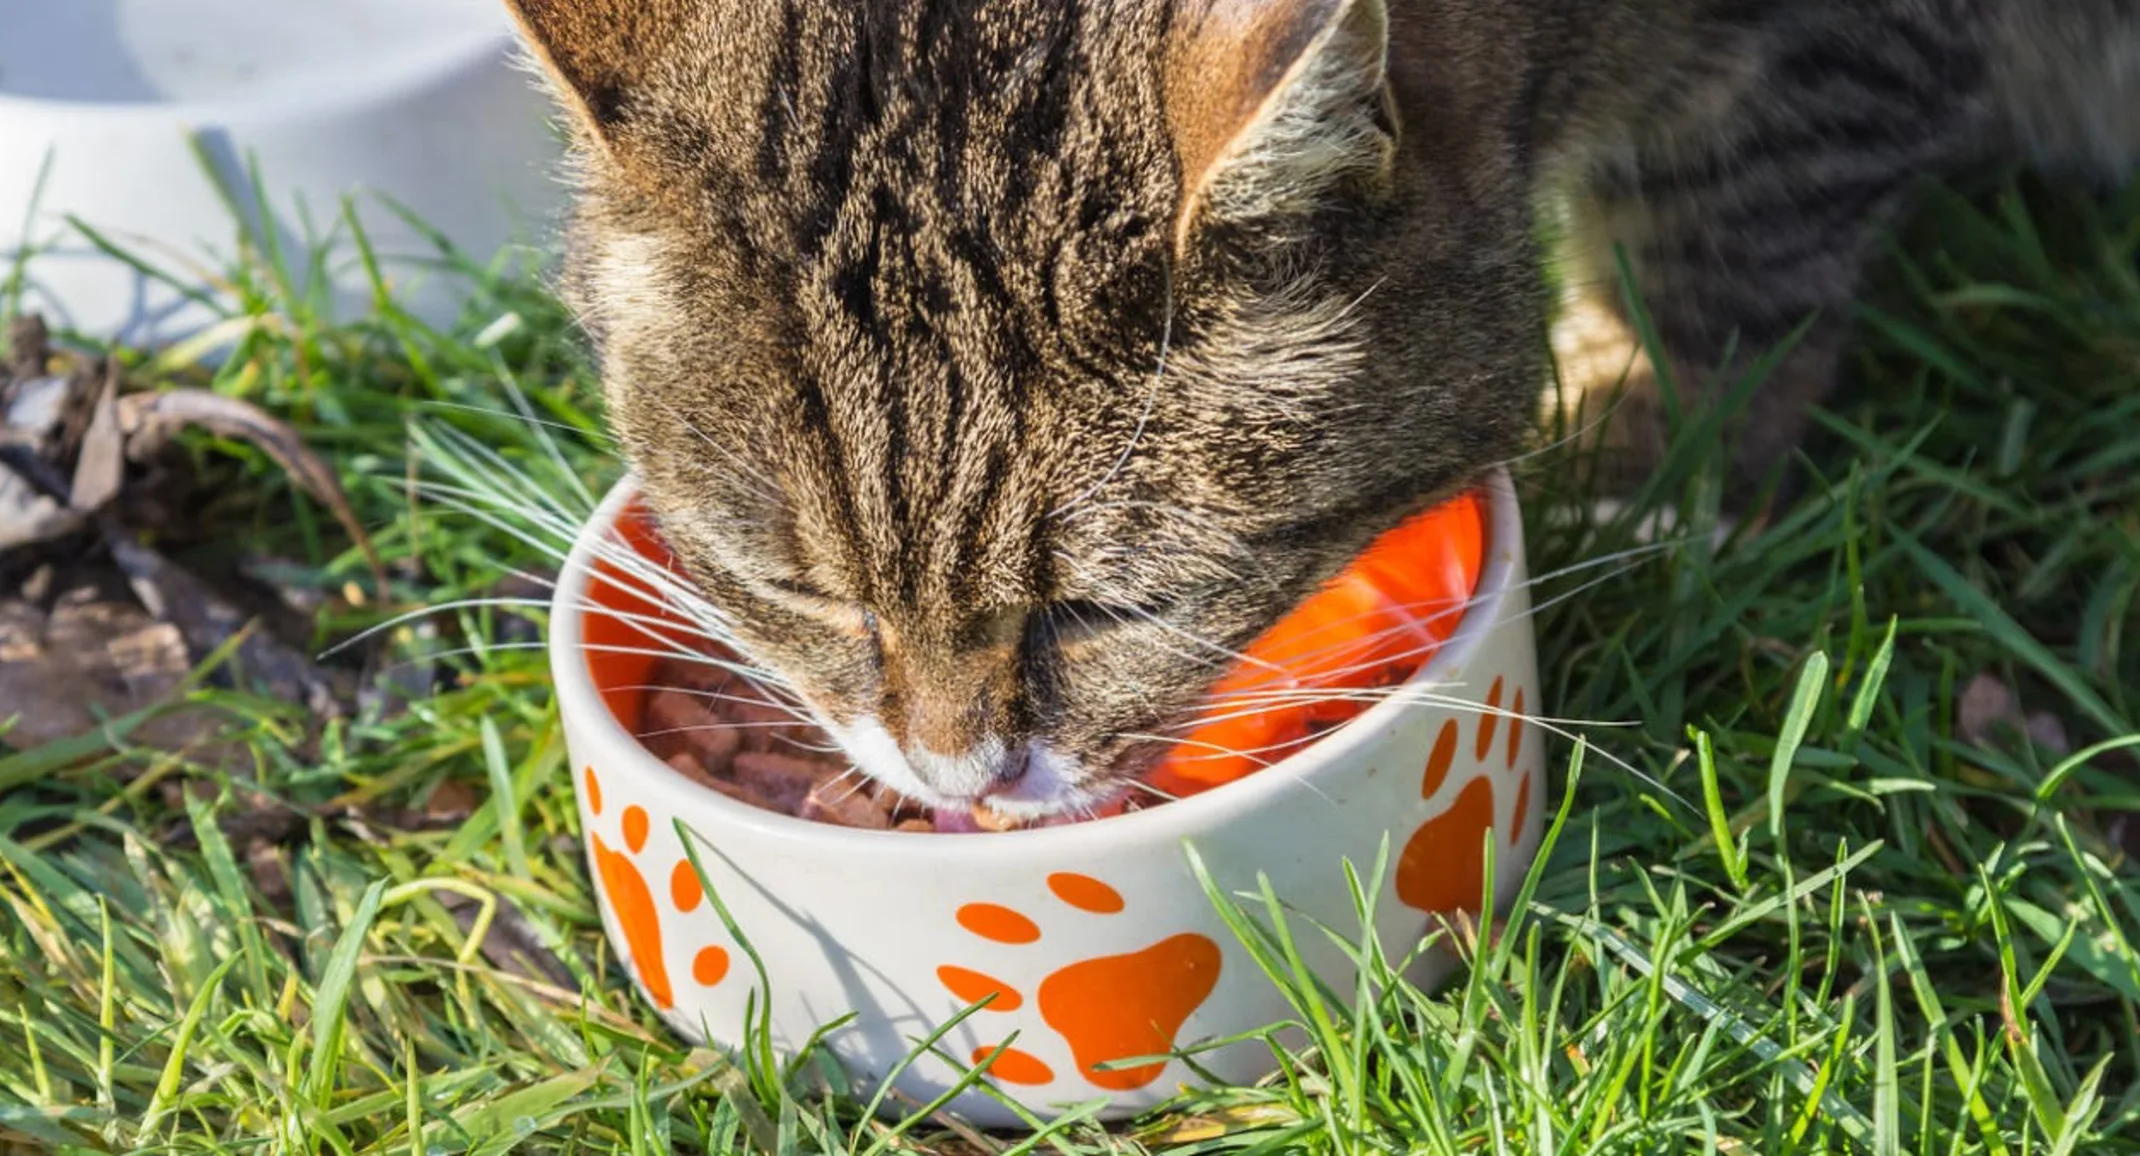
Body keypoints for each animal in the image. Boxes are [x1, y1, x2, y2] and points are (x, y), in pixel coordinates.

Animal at [496, 0, 2140, 817]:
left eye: (1108, 609)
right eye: (795, 591)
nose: (955, 777)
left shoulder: (1822, 58)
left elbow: (1727, 238)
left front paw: (1657, 464)